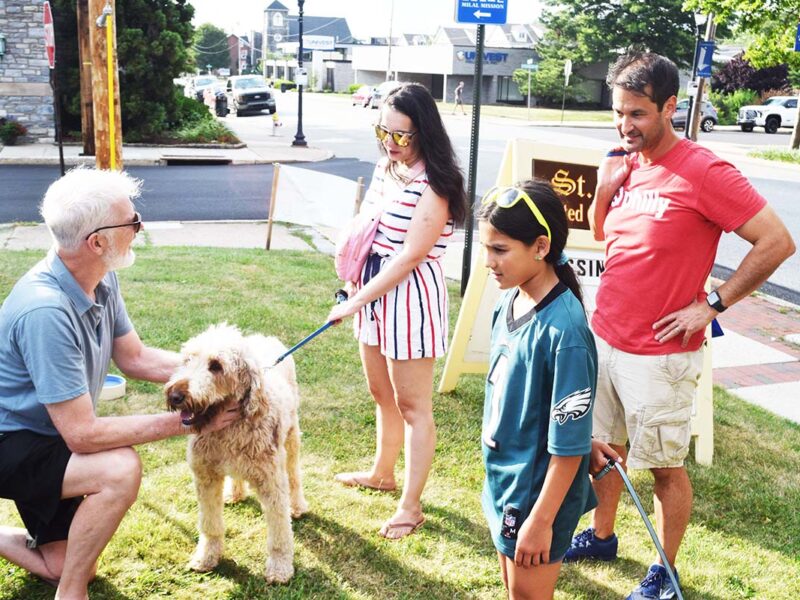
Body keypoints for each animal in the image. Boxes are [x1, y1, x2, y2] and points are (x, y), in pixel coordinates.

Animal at [165, 326, 306, 584]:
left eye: (216, 366)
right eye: (188, 360)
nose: (175, 396)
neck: (228, 430)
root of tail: (266, 338)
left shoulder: (272, 483)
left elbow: (280, 532)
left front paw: (280, 567)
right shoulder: (206, 478)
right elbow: (210, 524)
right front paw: (207, 557)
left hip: (291, 440)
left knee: (294, 475)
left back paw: (298, 505)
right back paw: (235, 493)